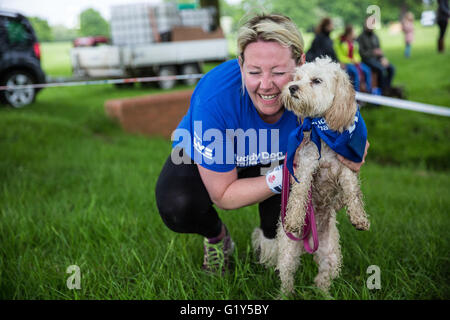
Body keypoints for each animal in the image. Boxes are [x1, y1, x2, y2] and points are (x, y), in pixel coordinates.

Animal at [251, 56, 370, 296]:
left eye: (316, 80)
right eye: (297, 77)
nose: (292, 87)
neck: (323, 134)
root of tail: (309, 244)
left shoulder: (346, 170)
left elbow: (353, 193)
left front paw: (359, 218)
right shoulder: (305, 166)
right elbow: (298, 195)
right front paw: (294, 219)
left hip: (331, 254)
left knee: (322, 279)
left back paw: (325, 296)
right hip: (288, 252)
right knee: (286, 278)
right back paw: (285, 296)